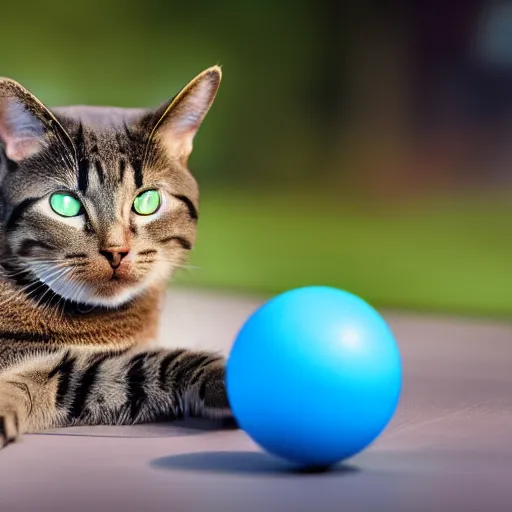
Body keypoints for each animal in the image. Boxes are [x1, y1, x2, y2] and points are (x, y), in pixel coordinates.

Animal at [0, 65, 234, 448]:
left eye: (147, 200)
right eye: (64, 204)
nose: (115, 250)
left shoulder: (103, 376)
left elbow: (131, 370)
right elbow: (50, 370)